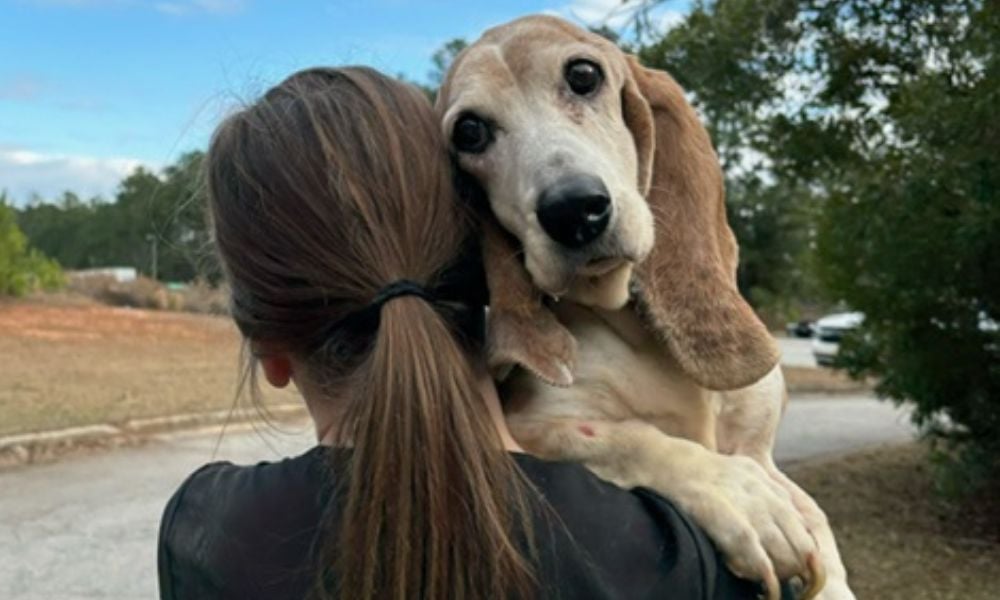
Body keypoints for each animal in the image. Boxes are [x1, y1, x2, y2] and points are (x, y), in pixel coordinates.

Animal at [438, 14, 852, 600]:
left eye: (583, 74)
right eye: (469, 132)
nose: (573, 210)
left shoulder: (762, 452)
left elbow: (817, 522)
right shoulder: (533, 426)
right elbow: (635, 440)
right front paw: (740, 498)